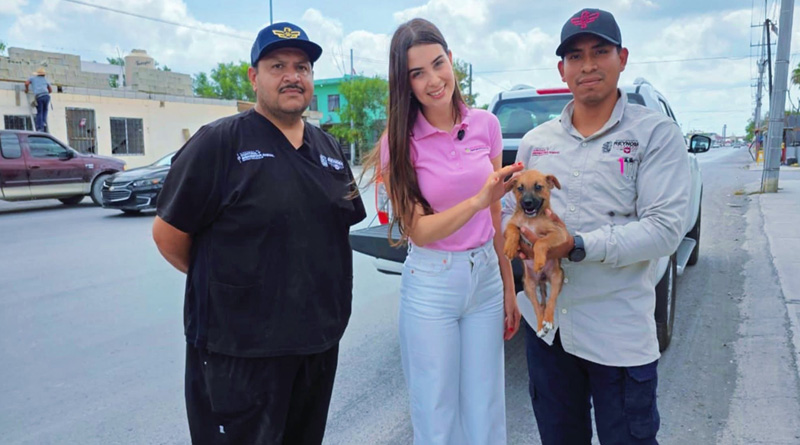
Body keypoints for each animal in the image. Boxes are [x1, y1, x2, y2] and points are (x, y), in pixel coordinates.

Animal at [503, 169, 568, 338]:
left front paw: (539, 260)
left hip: (557, 277)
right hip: (529, 286)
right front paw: (510, 247)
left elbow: (540, 242)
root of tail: (542, 279)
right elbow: (513, 230)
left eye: (538, 187)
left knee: (550, 302)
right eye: (520, 188)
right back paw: (540, 326)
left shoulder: (559, 233)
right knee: (538, 307)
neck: (531, 220)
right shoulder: (512, 224)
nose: (527, 203)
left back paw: (548, 321)